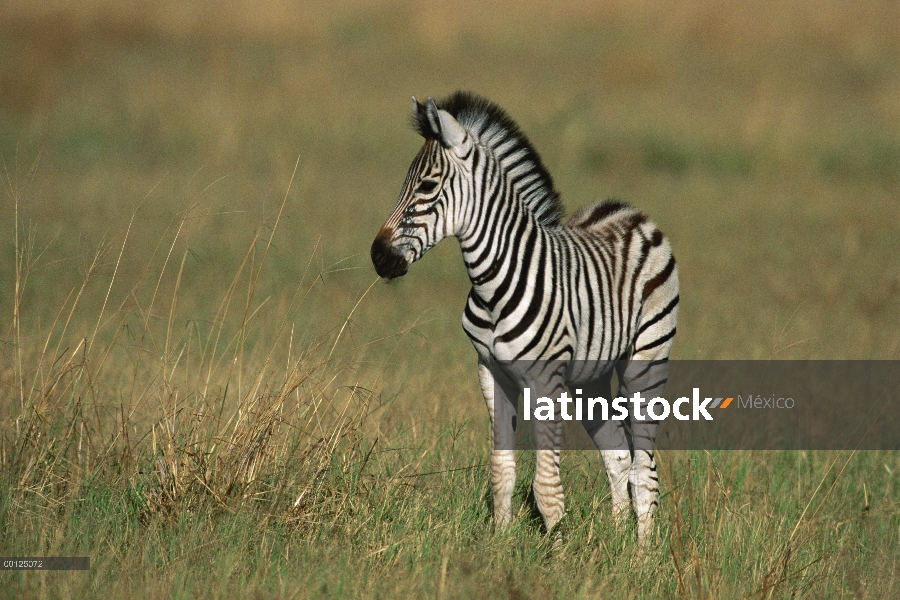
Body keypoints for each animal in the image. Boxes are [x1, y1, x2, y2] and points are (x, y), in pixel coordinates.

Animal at [370, 91, 680, 548]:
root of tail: (629, 211)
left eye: (426, 186)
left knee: (645, 472)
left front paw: (557, 555)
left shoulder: (546, 379)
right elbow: (502, 473)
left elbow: (547, 488)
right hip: (589, 378)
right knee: (618, 456)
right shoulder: (490, 371)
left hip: (646, 360)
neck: (493, 284)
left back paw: (641, 556)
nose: (378, 257)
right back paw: (616, 547)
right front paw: (500, 547)